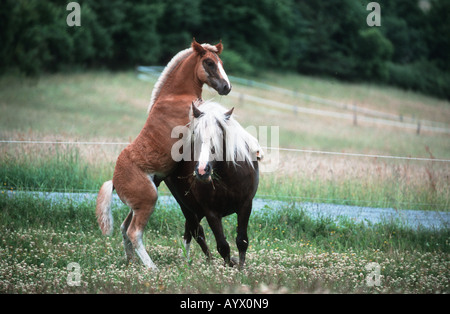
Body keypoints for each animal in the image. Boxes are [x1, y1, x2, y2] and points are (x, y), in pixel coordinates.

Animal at [97, 39, 232, 270]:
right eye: (209, 63)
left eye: (221, 62)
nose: (226, 87)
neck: (176, 95)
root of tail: (114, 180)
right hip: (148, 200)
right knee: (134, 232)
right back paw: (152, 268)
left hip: (137, 204)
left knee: (124, 228)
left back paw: (131, 262)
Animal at [165, 100, 264, 268]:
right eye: (195, 135)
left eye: (220, 135)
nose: (202, 170)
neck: (229, 177)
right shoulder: (211, 212)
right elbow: (223, 246)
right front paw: (228, 266)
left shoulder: (245, 205)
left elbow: (242, 241)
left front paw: (240, 268)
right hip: (186, 206)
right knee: (196, 233)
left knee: (190, 232)